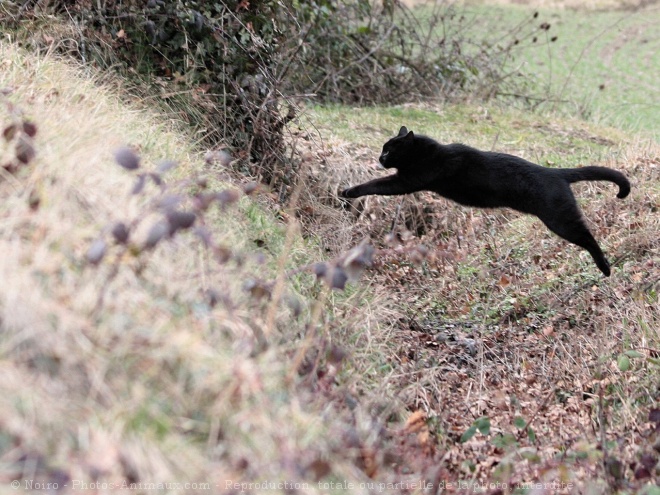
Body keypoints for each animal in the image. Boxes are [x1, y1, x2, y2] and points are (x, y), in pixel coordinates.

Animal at [342, 126, 632, 278]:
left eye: (388, 150)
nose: (379, 158)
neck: (430, 153)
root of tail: (557, 173)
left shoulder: (406, 181)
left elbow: (376, 184)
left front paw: (348, 191)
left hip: (560, 219)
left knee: (588, 237)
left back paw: (605, 268)